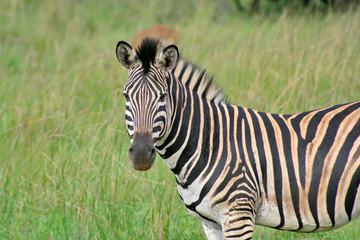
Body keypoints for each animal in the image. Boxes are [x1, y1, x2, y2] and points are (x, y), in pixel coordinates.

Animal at [115, 37, 360, 238]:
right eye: (126, 96)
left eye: (163, 97)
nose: (141, 154)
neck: (208, 143)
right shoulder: (211, 223)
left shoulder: (238, 215)